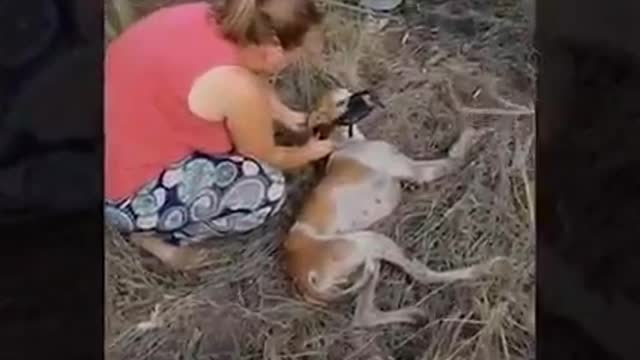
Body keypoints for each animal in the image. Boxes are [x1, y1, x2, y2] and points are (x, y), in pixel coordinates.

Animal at [284, 88, 510, 328]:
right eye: (340, 102)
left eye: (348, 92)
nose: (370, 94)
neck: (345, 141)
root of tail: (301, 274)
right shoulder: (415, 170)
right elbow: (455, 157)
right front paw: (472, 136)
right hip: (371, 242)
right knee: (423, 274)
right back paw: (486, 268)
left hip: (367, 266)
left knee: (364, 316)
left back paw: (412, 315)